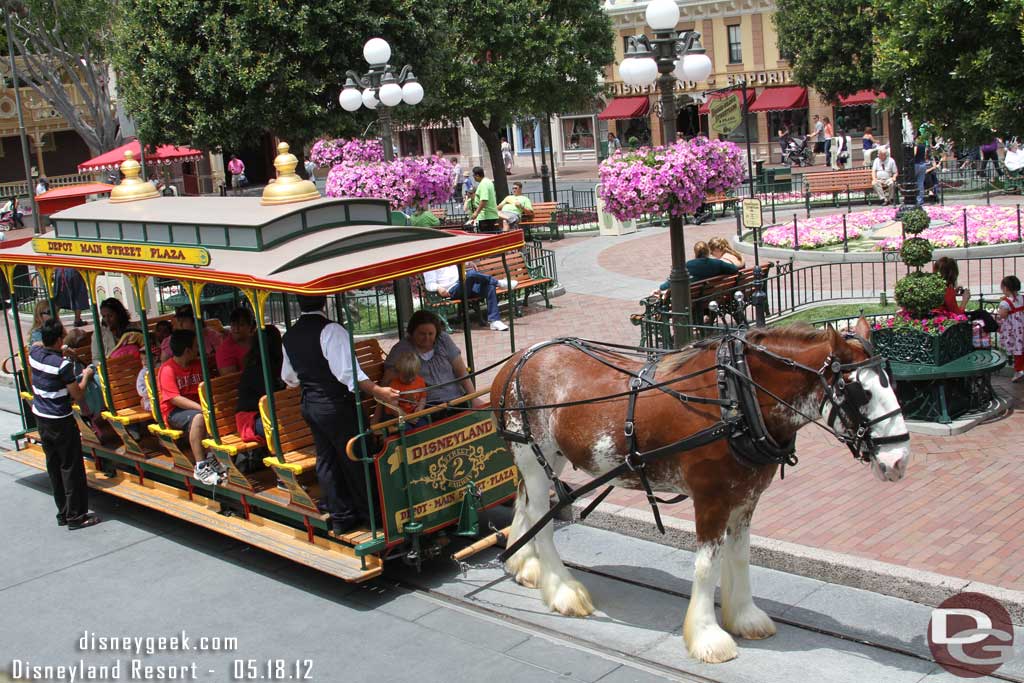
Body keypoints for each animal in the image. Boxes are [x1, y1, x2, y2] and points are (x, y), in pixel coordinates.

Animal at [489, 321, 913, 663]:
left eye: (892, 383)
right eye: (858, 392)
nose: (899, 460)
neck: (738, 400)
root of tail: (516, 360)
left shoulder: (745, 498)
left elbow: (740, 556)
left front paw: (744, 616)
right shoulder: (711, 499)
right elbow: (707, 565)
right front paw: (708, 637)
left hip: (549, 457)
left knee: (526, 503)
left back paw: (524, 565)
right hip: (533, 452)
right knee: (541, 517)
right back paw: (562, 590)